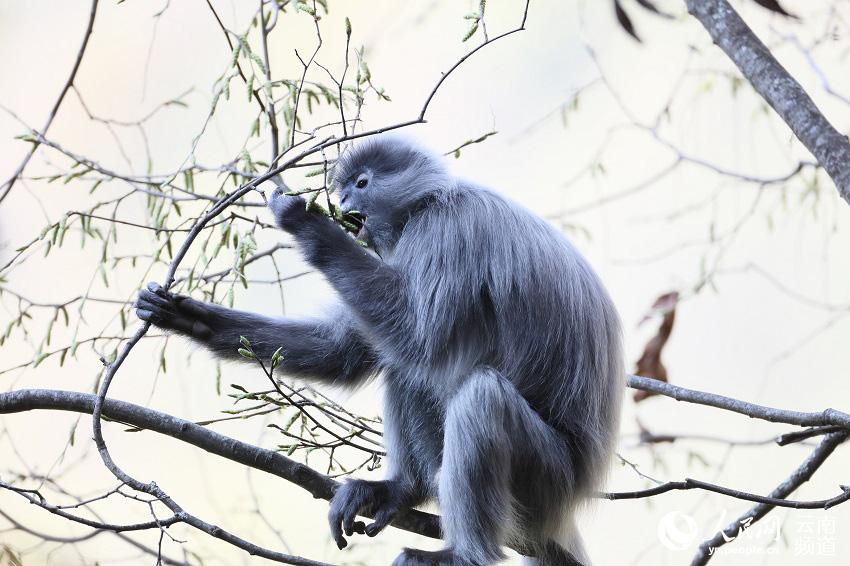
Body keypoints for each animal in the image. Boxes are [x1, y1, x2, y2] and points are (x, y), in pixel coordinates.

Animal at [135, 136, 623, 566]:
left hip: (547, 479)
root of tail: (574, 498)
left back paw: (464, 555)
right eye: (345, 186)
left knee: (478, 395)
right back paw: (403, 489)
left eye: (362, 182)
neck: (429, 202)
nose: (343, 198)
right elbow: (348, 351)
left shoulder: (445, 230)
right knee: (407, 370)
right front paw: (188, 316)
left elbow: (416, 334)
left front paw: (304, 220)